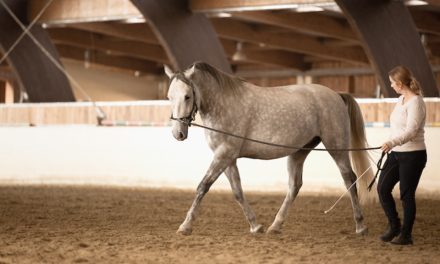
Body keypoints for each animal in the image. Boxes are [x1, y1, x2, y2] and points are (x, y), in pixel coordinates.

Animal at [167, 61, 372, 235]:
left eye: (187, 96)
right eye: (169, 97)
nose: (178, 133)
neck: (223, 104)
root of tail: (336, 94)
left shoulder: (224, 155)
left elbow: (203, 186)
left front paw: (185, 226)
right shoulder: (227, 158)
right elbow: (237, 191)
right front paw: (255, 226)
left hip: (336, 147)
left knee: (349, 179)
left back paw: (360, 226)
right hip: (300, 151)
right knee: (295, 185)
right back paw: (275, 226)